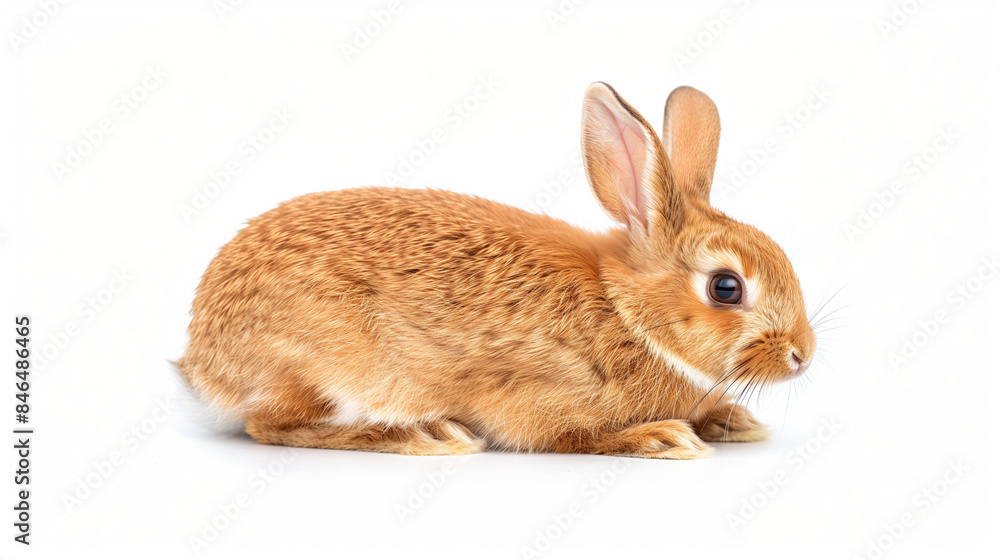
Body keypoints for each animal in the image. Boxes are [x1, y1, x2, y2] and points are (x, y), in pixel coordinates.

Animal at [177, 82, 815, 459]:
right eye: (725, 287)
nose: (801, 356)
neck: (630, 314)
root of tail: (202, 358)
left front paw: (734, 420)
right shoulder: (537, 395)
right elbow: (566, 434)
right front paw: (659, 437)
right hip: (324, 366)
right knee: (273, 426)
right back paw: (422, 434)